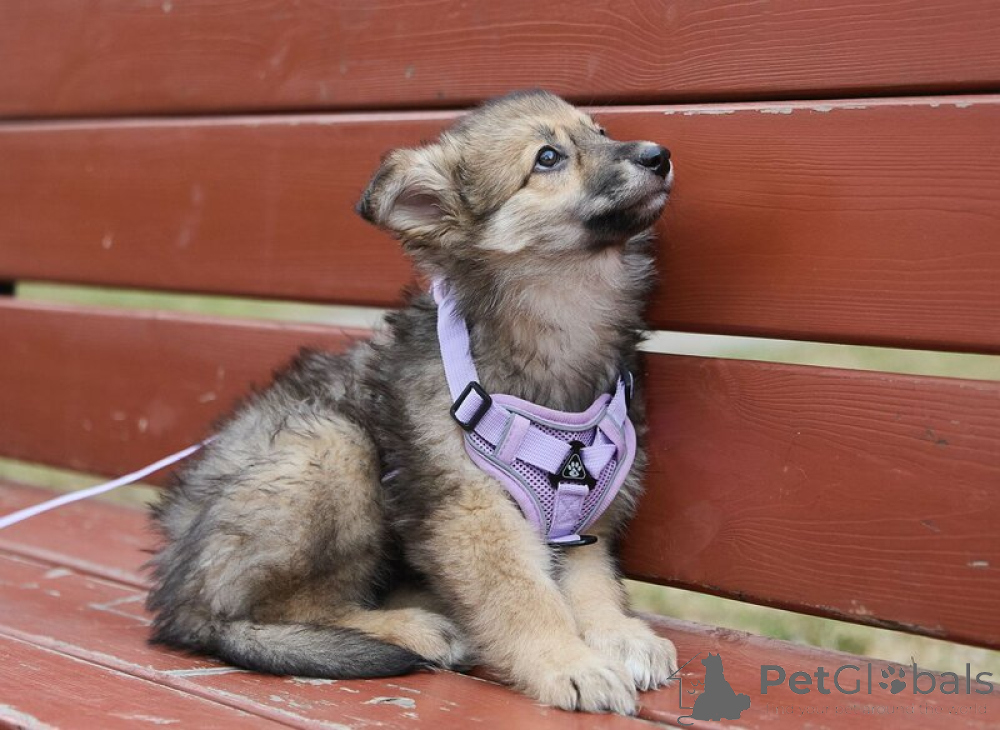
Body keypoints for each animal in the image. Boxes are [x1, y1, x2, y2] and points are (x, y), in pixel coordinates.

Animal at [147, 89, 677, 715]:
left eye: (601, 130)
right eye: (547, 157)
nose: (659, 155)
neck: (562, 318)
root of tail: (178, 591)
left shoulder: (585, 515)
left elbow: (593, 583)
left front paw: (619, 636)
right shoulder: (470, 507)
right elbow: (524, 595)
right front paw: (569, 663)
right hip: (331, 446)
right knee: (274, 610)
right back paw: (413, 628)